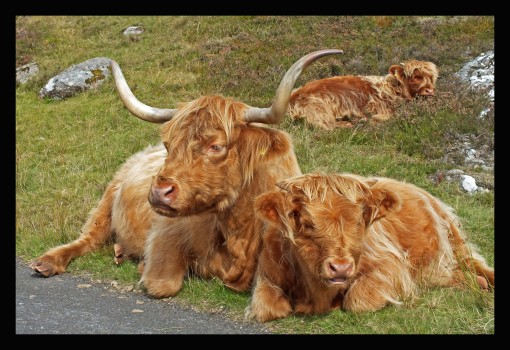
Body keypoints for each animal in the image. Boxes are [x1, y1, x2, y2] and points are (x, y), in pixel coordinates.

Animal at [30, 47, 342, 296]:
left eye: (216, 146)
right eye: (169, 145)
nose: (159, 192)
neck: (238, 234)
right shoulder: (165, 234)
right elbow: (162, 284)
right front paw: (143, 266)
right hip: (107, 199)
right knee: (89, 238)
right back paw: (47, 262)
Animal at [246, 172, 494, 322]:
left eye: (359, 221)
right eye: (307, 223)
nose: (340, 267)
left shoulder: (390, 267)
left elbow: (358, 300)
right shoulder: (266, 275)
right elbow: (268, 307)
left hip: (456, 245)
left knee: (475, 266)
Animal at [286, 59, 438, 129]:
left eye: (431, 77)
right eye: (416, 77)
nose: (430, 91)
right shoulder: (383, 110)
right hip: (319, 108)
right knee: (327, 126)